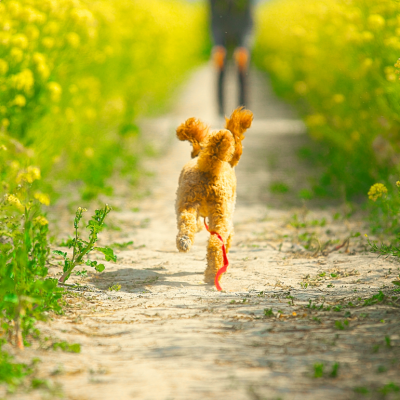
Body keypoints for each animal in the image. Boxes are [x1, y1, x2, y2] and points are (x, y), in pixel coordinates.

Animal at [175, 106, 253, 284]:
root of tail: (209, 169)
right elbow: (228, 240)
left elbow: (195, 224)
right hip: (220, 213)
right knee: (217, 244)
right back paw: (214, 273)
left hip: (189, 203)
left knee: (188, 224)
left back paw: (185, 243)